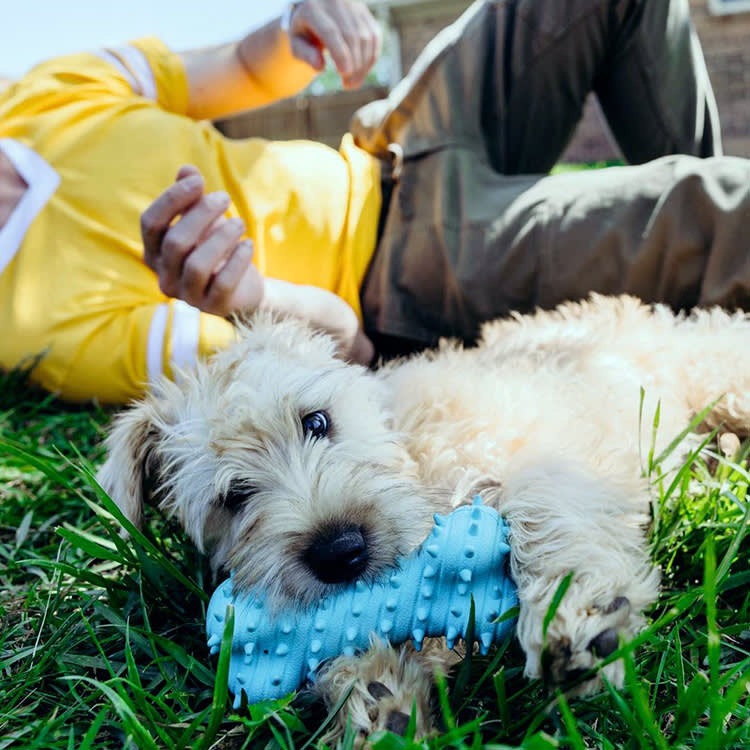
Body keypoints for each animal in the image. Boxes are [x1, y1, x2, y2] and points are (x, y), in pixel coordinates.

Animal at [98, 296, 750, 740]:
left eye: (316, 421)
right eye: (233, 497)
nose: (341, 552)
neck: (413, 458)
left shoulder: (553, 456)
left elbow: (544, 512)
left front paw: (578, 615)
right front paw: (376, 702)